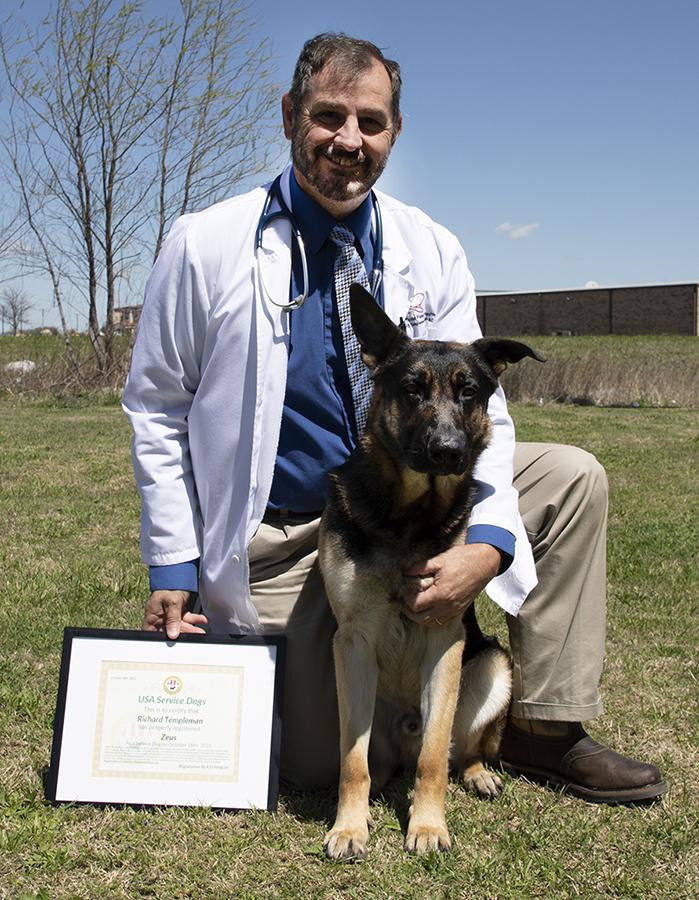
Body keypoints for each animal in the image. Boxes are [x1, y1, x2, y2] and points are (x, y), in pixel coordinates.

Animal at [320, 286, 544, 856]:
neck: (409, 518)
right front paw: (349, 826)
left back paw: (479, 774)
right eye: (412, 389)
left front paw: (427, 826)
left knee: (452, 751)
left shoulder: (445, 638)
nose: (447, 451)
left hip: (491, 667)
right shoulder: (352, 642)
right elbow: (351, 760)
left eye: (470, 393)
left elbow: (432, 760)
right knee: (377, 763)